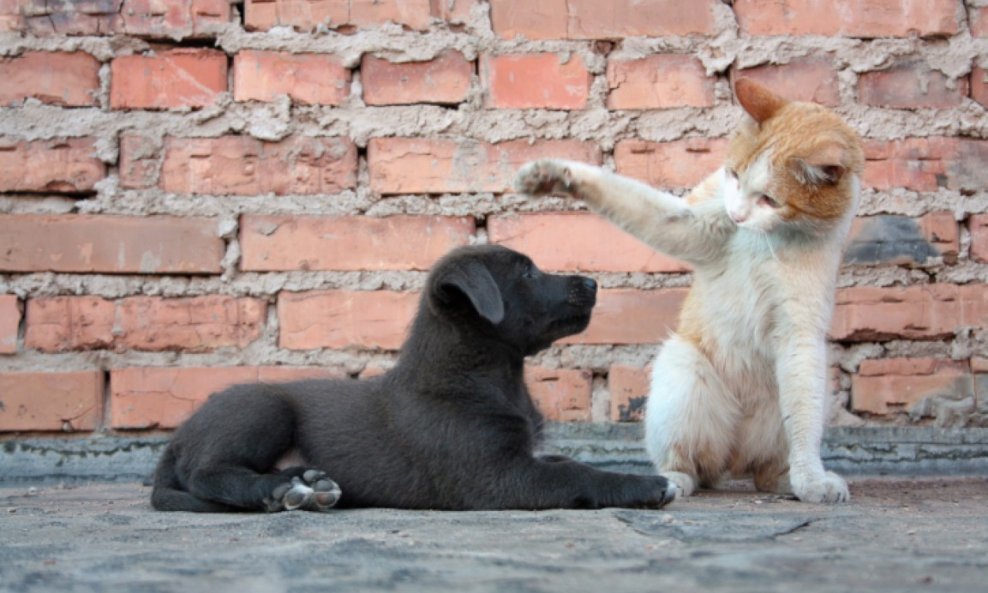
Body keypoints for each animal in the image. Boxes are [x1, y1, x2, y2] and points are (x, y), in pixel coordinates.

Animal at [152, 243, 680, 512]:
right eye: (527, 273)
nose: (592, 283)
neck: (484, 377)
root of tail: (176, 442)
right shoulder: (495, 477)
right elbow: (575, 472)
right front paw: (644, 485)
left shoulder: (522, 454)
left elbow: (564, 459)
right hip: (260, 407)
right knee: (207, 474)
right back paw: (281, 489)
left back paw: (309, 483)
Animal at [516, 78, 864, 502]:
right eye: (734, 176)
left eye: (770, 199)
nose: (737, 215)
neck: (766, 239)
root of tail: (734, 458)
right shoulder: (693, 225)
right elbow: (629, 198)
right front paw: (552, 176)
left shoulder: (801, 334)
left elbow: (804, 423)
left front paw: (811, 480)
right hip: (682, 368)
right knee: (691, 465)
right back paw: (671, 482)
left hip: (813, 380)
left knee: (766, 466)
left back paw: (784, 482)